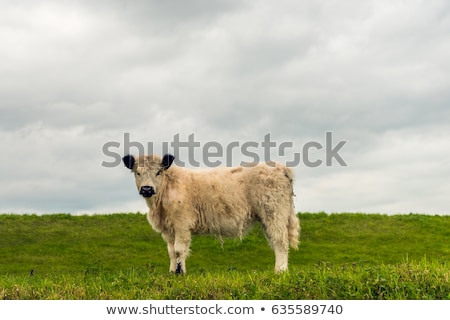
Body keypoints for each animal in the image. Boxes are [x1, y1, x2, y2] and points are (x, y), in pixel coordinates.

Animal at [121, 154, 300, 274]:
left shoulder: (182, 225)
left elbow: (179, 250)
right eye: (137, 172)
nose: (147, 189)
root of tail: (280, 167)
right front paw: (172, 272)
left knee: (280, 241)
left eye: (158, 172)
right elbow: (171, 252)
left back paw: (280, 271)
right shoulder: (168, 229)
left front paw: (180, 273)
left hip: (274, 213)